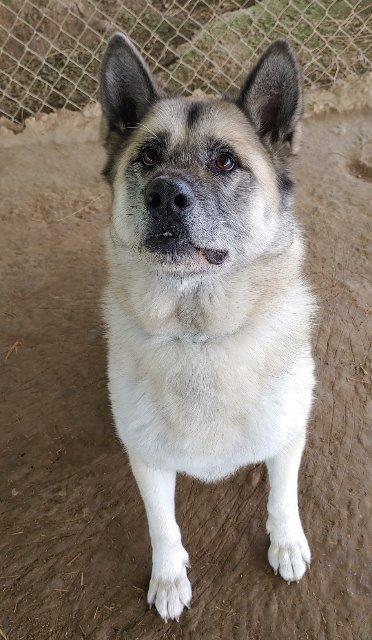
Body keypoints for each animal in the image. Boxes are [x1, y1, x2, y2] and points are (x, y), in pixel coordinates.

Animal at [98, 33, 314, 620]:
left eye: (224, 161)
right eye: (148, 157)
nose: (165, 194)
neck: (198, 333)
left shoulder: (289, 436)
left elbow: (282, 497)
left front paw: (287, 542)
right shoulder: (148, 459)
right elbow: (162, 525)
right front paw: (169, 578)